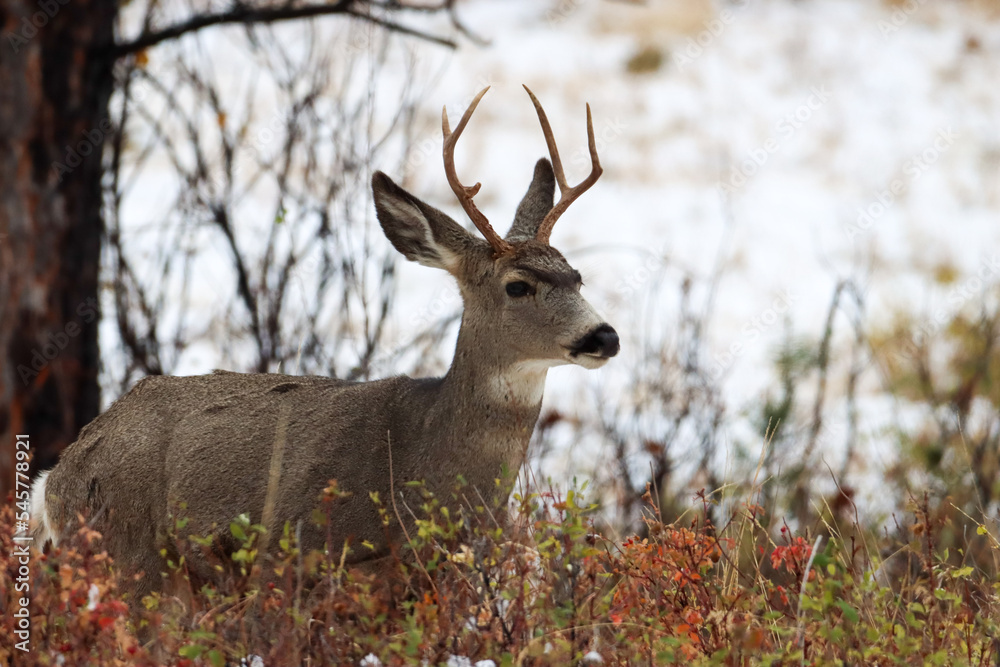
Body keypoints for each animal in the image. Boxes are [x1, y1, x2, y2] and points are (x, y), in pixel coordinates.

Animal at [30, 85, 619, 603]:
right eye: (518, 286)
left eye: (578, 277)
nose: (605, 335)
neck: (417, 458)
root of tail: (55, 478)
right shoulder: (291, 553)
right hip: (127, 553)